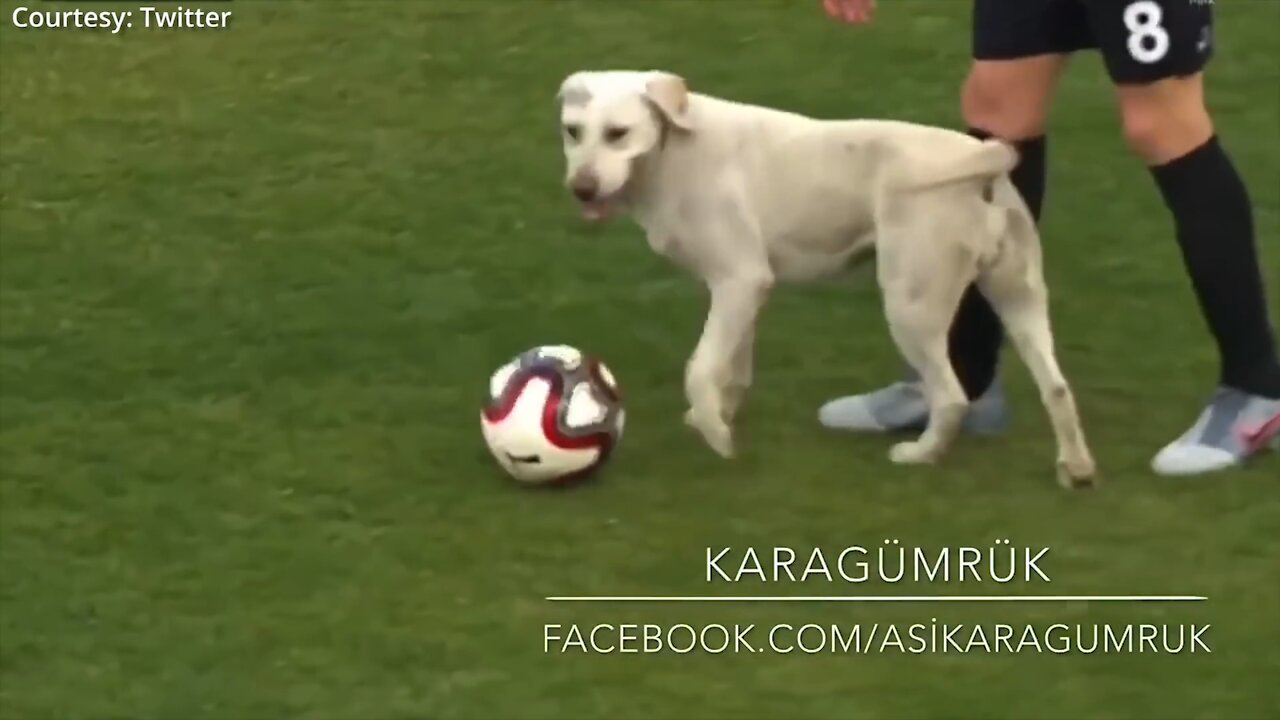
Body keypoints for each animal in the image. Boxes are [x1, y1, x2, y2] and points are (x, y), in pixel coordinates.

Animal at [560, 70, 1100, 484]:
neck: (673, 150)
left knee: (951, 397)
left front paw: (717, 436)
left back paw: (920, 456)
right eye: (571, 131)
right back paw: (1076, 468)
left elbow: (699, 368)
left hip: (910, 307)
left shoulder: (739, 281)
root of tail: (986, 162)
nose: (580, 190)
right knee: (1056, 387)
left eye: (617, 133)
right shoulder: (744, 290)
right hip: (1019, 297)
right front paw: (717, 417)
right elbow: (732, 368)